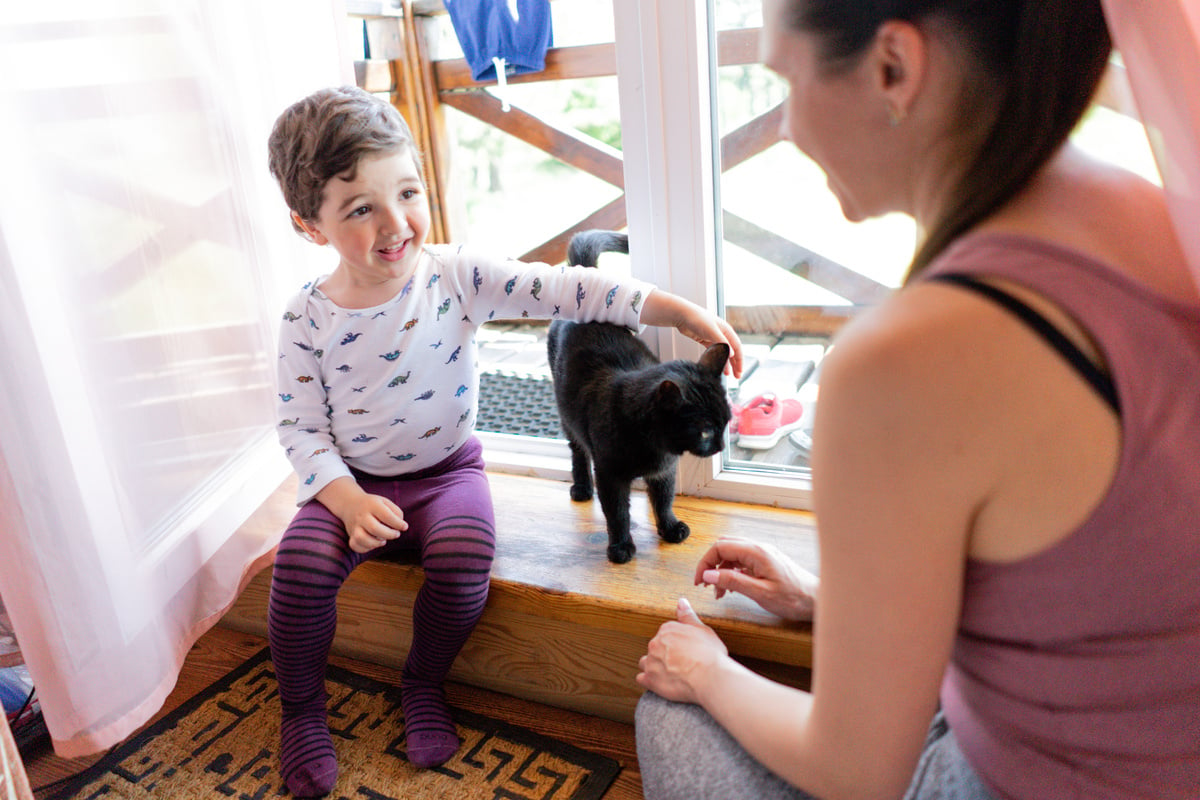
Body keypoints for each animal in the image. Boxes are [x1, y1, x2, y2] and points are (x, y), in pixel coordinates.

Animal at [547, 227, 729, 563]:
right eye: (705, 431)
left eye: (726, 423)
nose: (721, 446)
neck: (656, 447)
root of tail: (586, 277)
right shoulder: (610, 475)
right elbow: (617, 513)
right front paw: (620, 547)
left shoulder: (665, 471)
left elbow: (663, 500)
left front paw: (669, 528)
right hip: (566, 412)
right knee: (577, 449)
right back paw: (581, 487)